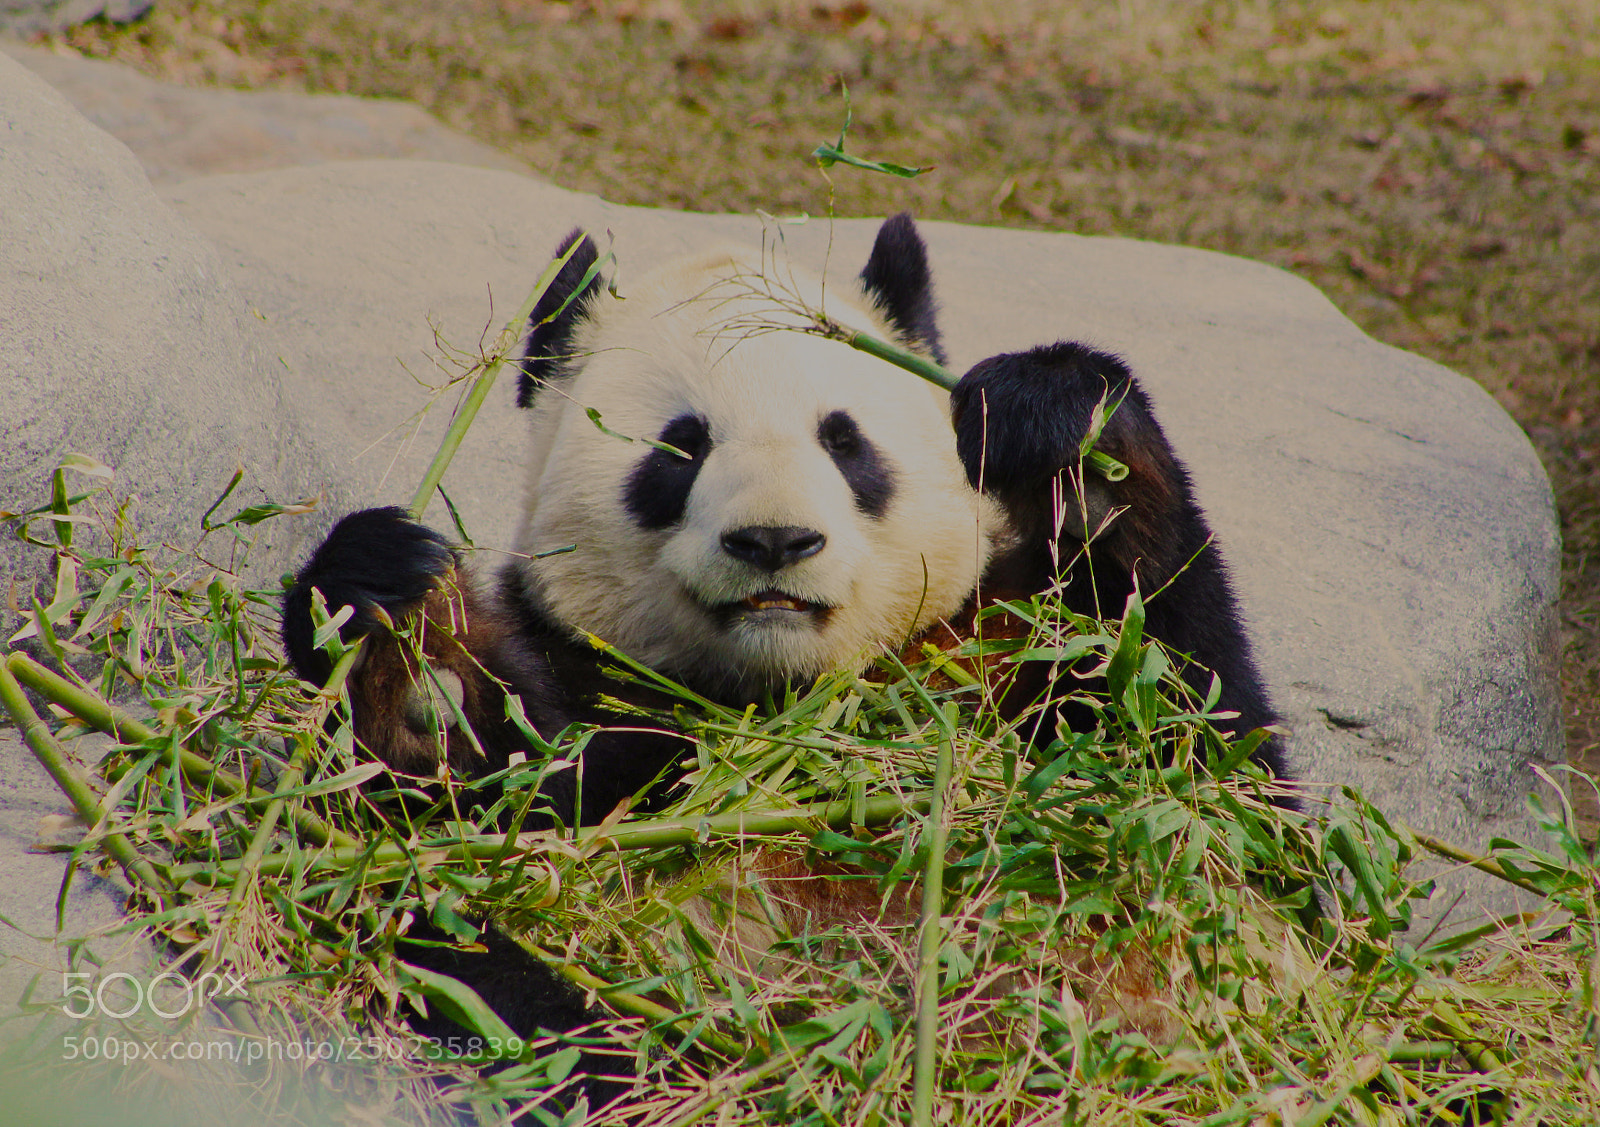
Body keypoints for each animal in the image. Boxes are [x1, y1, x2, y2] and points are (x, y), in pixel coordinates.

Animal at [282, 213, 1291, 1101]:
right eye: (681, 448)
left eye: (844, 442)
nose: (774, 540)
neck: (784, 700)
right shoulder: (610, 717)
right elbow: (450, 808)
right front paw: (398, 623)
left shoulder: (995, 659)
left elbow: (1204, 775)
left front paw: (1058, 432)